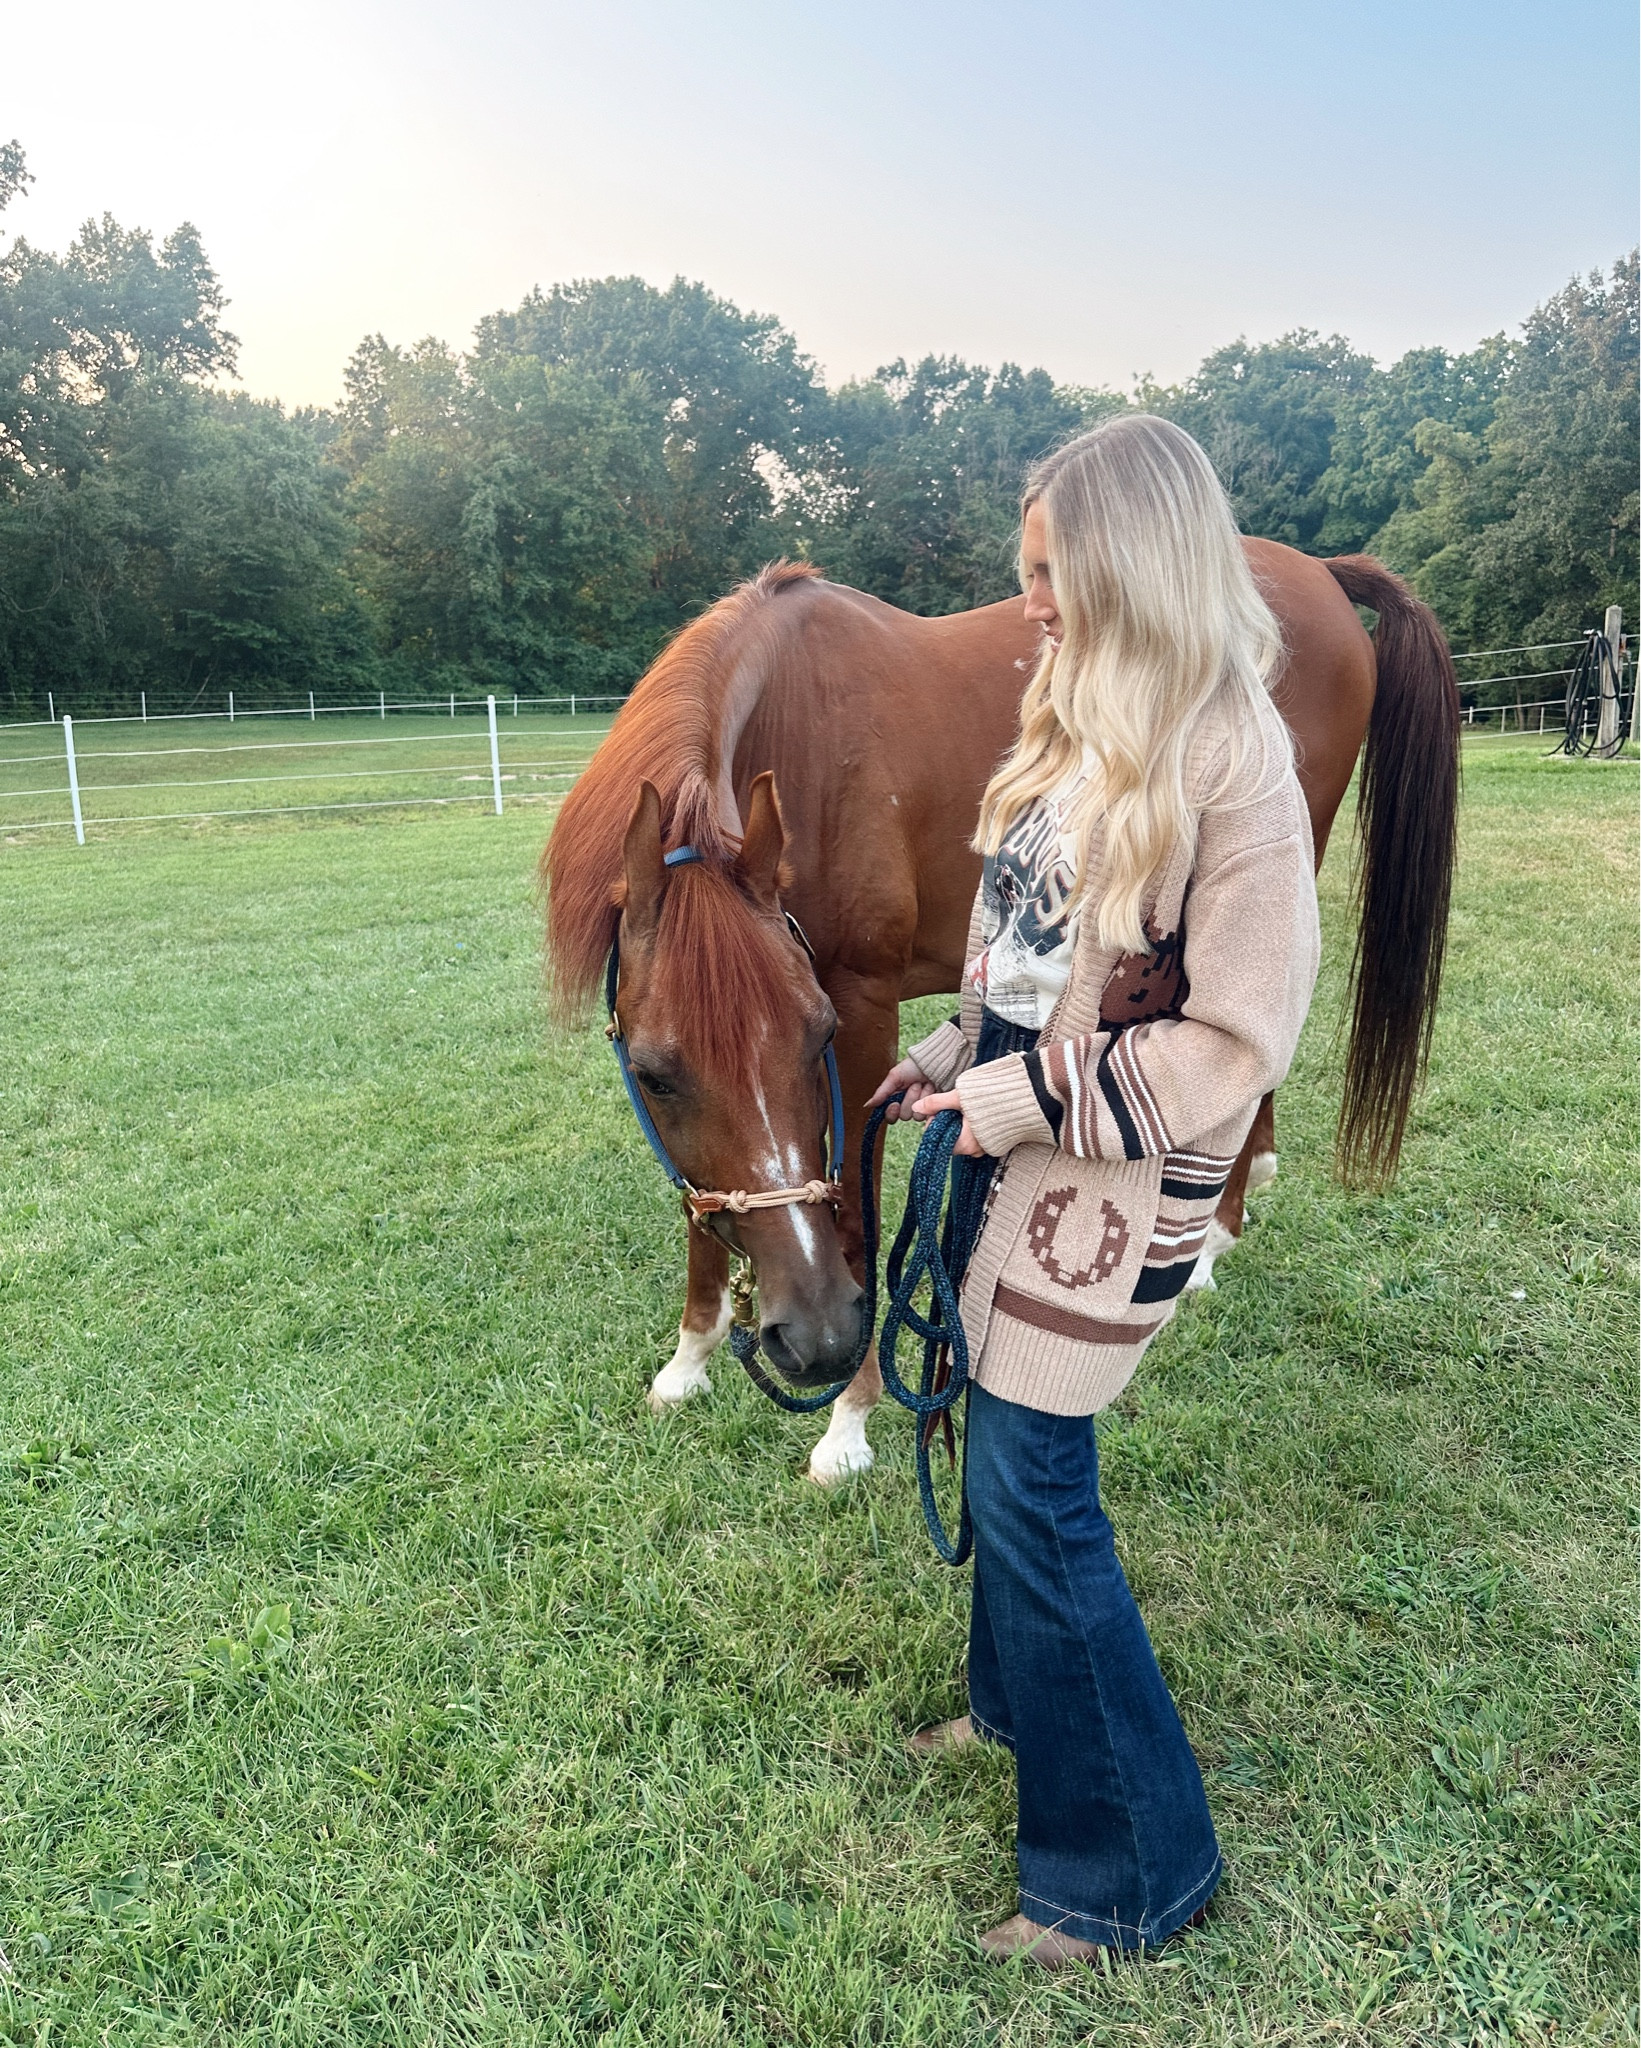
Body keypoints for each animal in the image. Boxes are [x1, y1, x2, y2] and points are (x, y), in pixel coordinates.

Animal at [543, 549, 1459, 1482]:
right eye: (654, 1075)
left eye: (817, 1040)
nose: (816, 1339)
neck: (798, 729)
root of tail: (1320, 572)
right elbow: (699, 1201)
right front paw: (688, 1359)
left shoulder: (861, 1009)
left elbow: (860, 1214)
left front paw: (848, 1421)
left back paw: (1209, 1244)